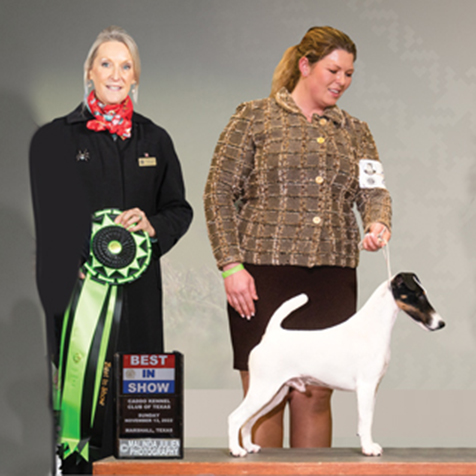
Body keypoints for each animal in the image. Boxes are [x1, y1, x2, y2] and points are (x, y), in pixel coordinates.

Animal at [228, 272, 445, 457]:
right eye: (419, 295)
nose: (441, 324)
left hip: (275, 395)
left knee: (248, 421)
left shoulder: (373, 389)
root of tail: (270, 335)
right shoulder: (366, 387)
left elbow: (368, 420)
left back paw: (249, 447)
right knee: (235, 417)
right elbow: (365, 420)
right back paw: (236, 451)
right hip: (264, 390)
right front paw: (368, 449)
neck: (373, 327)